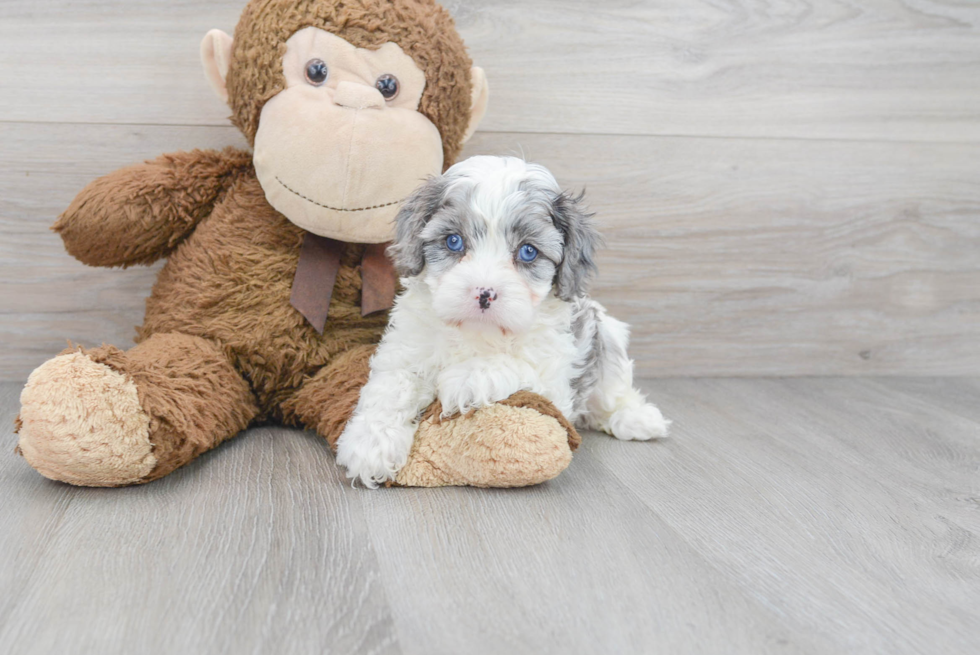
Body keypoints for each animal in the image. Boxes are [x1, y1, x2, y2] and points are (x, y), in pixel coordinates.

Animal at [334, 155, 668, 486]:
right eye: (453, 241)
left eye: (528, 251)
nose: (485, 293)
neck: (478, 334)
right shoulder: (405, 349)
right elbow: (392, 386)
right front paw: (370, 444)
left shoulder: (555, 378)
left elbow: (517, 365)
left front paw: (464, 379)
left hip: (607, 334)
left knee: (614, 392)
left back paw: (637, 419)